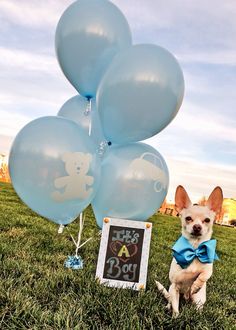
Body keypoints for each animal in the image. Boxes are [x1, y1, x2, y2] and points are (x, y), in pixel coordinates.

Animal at [156, 186, 222, 318]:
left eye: (207, 220)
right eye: (188, 218)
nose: (197, 227)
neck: (194, 249)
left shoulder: (208, 269)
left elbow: (203, 275)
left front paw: (196, 285)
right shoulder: (175, 283)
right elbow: (176, 307)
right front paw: (175, 317)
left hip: (199, 298)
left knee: (198, 307)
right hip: (172, 290)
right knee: (171, 300)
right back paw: (168, 307)